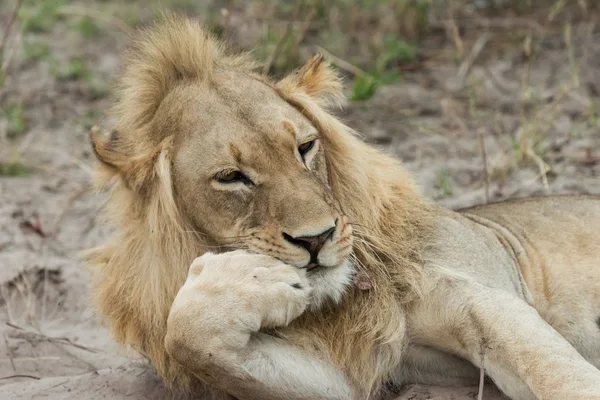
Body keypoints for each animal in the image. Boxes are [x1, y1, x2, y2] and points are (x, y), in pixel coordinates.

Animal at [88, 14, 600, 400]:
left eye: (305, 147)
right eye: (231, 177)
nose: (317, 239)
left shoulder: (481, 300)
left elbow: (558, 376)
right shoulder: (364, 370)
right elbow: (185, 335)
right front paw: (250, 281)